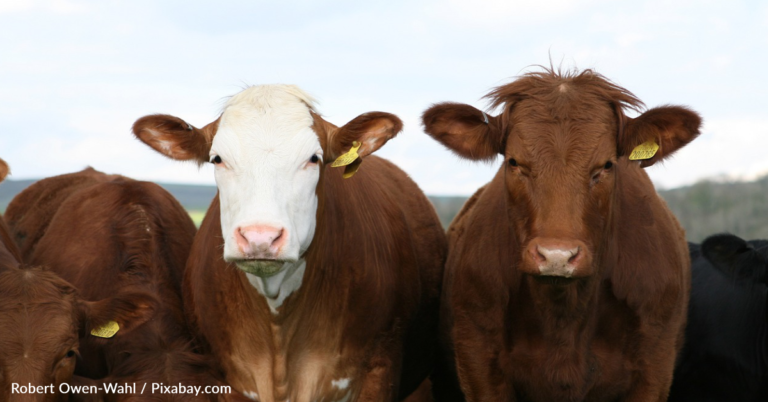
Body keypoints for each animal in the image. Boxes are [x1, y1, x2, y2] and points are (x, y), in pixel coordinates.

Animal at [421, 68, 700, 402]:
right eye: (514, 162)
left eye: (607, 164)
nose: (556, 256)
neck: (564, 315)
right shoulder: (479, 363)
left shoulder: (654, 368)